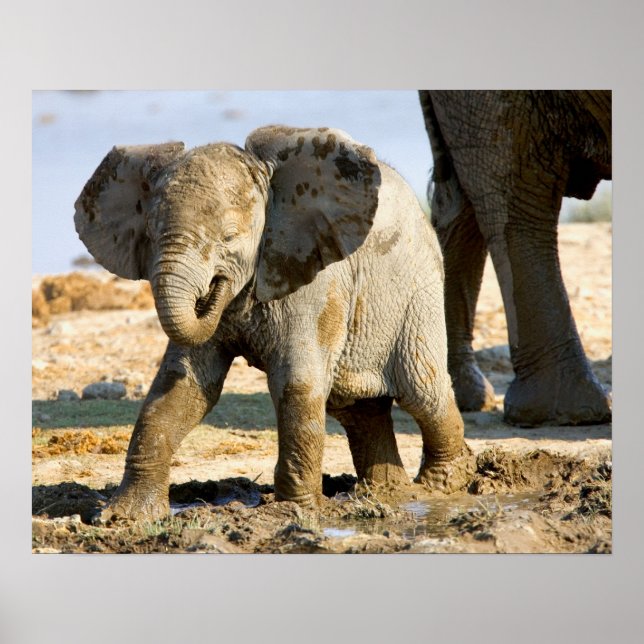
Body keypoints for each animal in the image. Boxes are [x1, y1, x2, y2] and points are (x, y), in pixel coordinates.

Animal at [74, 125, 470, 521]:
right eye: (150, 235)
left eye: (229, 237)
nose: (213, 290)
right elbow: (181, 386)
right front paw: (123, 516)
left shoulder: (314, 279)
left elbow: (296, 382)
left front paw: (294, 512)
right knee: (357, 409)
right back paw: (389, 493)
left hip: (418, 293)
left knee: (422, 391)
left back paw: (441, 486)